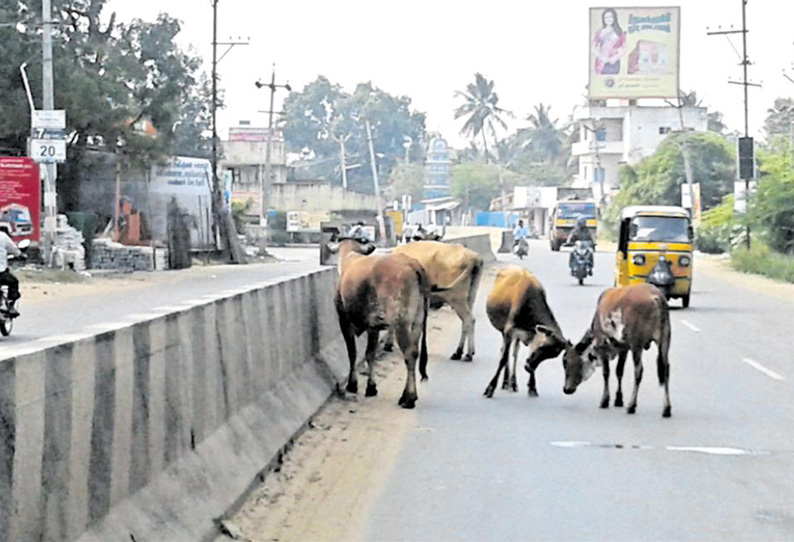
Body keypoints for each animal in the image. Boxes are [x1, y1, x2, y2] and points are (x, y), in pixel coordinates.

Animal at [324, 238, 430, 408]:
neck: (349, 259)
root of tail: (413, 265)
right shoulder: (373, 327)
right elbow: (370, 353)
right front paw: (371, 386)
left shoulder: (344, 321)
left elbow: (352, 353)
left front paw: (352, 384)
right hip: (418, 322)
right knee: (415, 351)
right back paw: (407, 395)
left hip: (401, 322)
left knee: (410, 353)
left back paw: (409, 398)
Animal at [480, 268, 568, 400]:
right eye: (542, 346)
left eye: (551, 355)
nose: (527, 367)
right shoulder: (509, 330)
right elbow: (503, 358)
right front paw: (490, 388)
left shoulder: (530, 335)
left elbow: (522, 357)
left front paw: (532, 387)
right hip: (504, 331)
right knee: (505, 352)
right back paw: (505, 382)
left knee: (514, 353)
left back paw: (512, 382)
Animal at [560, 282, 672, 418]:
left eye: (566, 362)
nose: (566, 389)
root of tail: (656, 297)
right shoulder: (624, 348)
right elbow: (619, 371)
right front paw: (618, 399)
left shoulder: (602, 346)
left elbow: (606, 373)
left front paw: (605, 400)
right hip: (664, 340)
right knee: (665, 369)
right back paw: (666, 408)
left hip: (637, 345)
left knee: (638, 371)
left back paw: (631, 406)